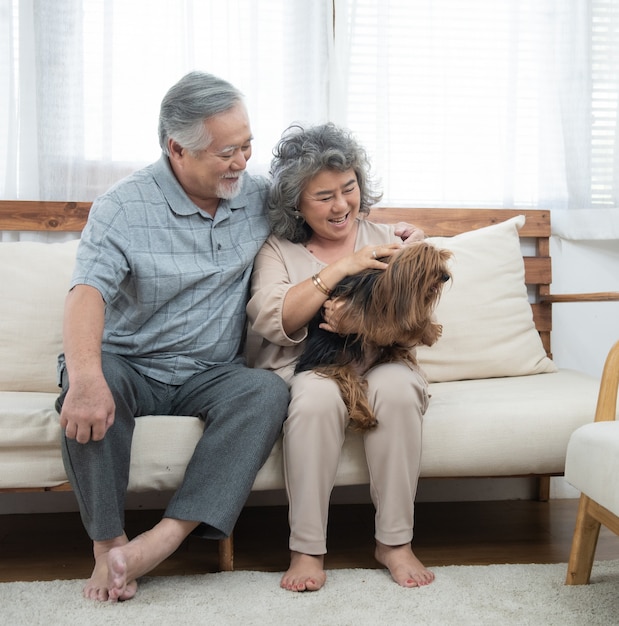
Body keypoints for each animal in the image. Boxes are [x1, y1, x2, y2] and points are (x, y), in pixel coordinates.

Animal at [296, 241, 450, 432]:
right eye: (432, 268)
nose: (446, 276)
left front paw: (428, 332)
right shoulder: (363, 312)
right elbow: (393, 324)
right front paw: (426, 331)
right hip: (332, 361)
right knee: (348, 381)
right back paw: (365, 416)